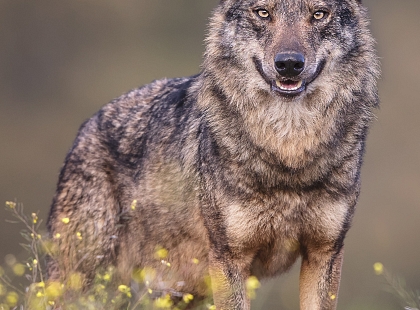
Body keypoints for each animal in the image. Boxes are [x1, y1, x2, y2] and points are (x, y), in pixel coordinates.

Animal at [46, 0, 380, 308]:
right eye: (263, 13)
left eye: (319, 14)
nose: (288, 64)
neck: (288, 151)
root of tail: (87, 126)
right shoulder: (229, 258)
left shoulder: (324, 253)